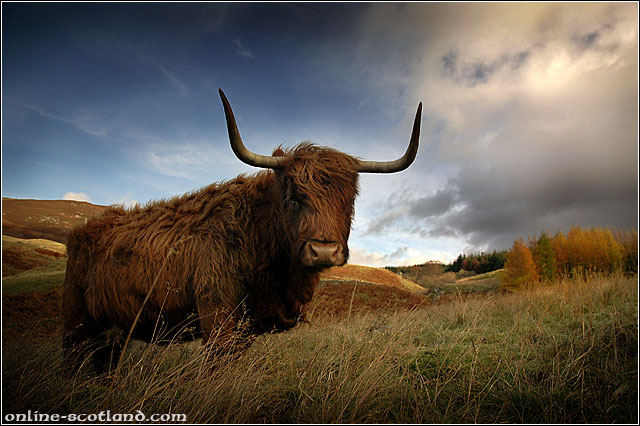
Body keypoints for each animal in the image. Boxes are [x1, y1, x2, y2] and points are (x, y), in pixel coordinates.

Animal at [61, 89, 422, 373]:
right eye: (293, 196)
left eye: (349, 200)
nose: (323, 251)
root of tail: (84, 231)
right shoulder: (216, 316)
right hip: (76, 323)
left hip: (111, 332)